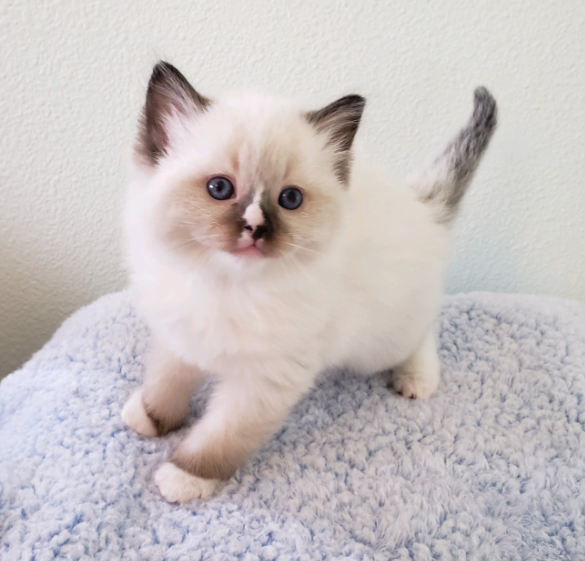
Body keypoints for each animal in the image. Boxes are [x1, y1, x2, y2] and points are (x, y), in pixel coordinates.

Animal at [121, 61, 496, 504]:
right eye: (220, 188)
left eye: (290, 199)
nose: (256, 227)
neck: (225, 285)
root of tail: (421, 204)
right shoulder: (180, 337)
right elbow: (165, 382)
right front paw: (150, 417)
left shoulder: (262, 384)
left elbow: (220, 437)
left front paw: (185, 477)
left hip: (378, 343)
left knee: (421, 334)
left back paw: (416, 380)